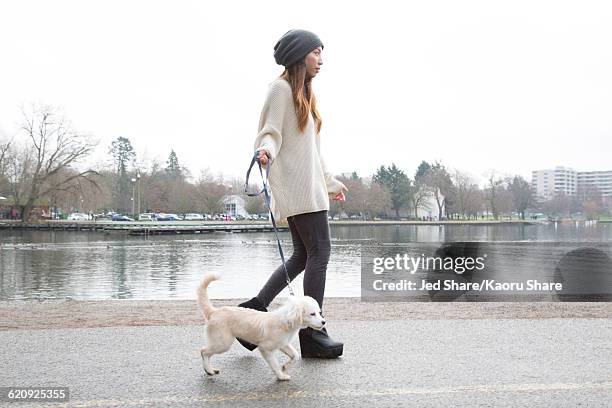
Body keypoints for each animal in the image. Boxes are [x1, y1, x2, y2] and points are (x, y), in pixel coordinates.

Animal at [198, 272, 328, 380]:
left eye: (319, 312)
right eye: (312, 314)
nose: (324, 322)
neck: (286, 322)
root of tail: (214, 312)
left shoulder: (283, 344)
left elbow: (295, 355)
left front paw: (285, 367)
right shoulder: (266, 348)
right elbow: (275, 364)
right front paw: (281, 376)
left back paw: (210, 369)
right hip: (223, 343)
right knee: (203, 351)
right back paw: (209, 370)